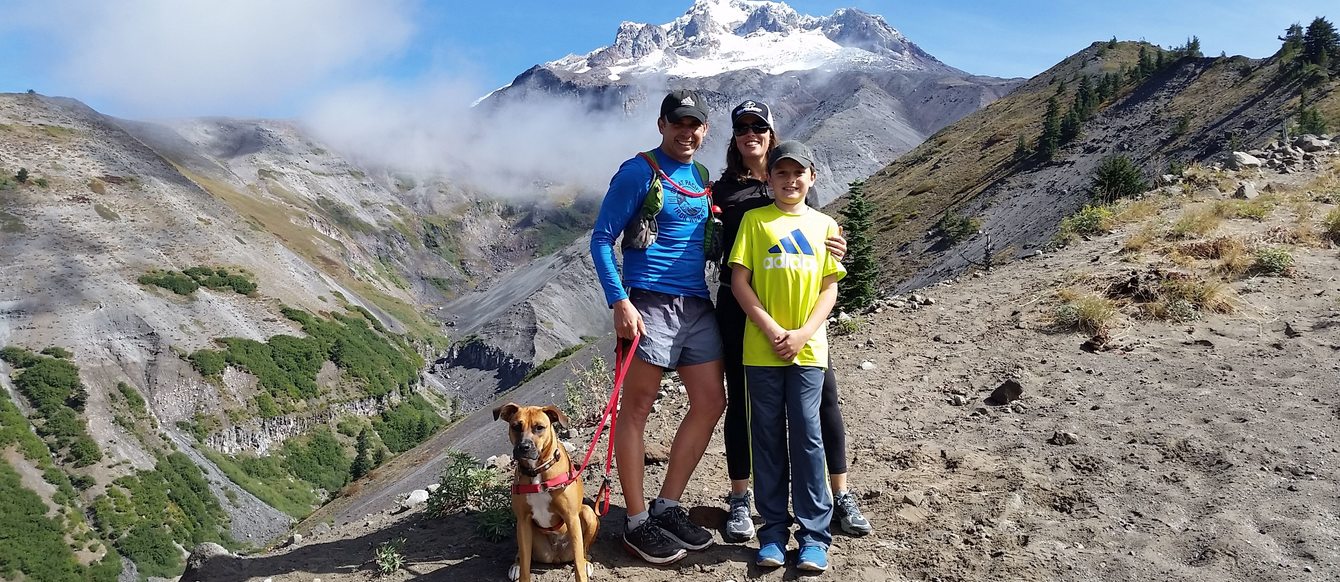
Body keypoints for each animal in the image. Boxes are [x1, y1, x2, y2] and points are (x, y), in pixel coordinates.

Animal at [493, 402, 597, 582]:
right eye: (516, 426)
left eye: (539, 427)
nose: (524, 447)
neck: (537, 471)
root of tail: (557, 556)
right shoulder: (523, 521)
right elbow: (525, 568)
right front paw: (521, 569)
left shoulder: (571, 517)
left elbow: (577, 563)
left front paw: (581, 569)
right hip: (523, 532)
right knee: (522, 555)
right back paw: (516, 565)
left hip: (588, 513)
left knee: (583, 551)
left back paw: (586, 563)